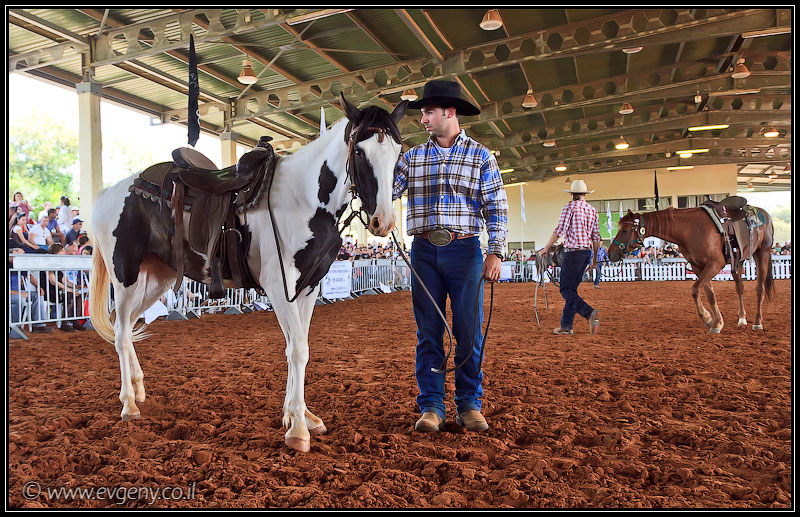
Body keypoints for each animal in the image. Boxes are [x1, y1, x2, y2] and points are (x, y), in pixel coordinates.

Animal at [89, 94, 408, 452]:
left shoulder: (308, 287)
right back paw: (129, 403)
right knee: (119, 332)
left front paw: (299, 415)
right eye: (360, 152)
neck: (303, 200)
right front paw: (298, 429)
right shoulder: (278, 285)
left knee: (128, 327)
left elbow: (298, 345)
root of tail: (107, 194)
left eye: (397, 151)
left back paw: (138, 388)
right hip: (125, 276)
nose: (383, 221)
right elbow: (297, 348)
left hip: (155, 280)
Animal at [607, 206, 775, 333]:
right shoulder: (698, 266)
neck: (690, 229)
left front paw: (707, 318)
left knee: (759, 288)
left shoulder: (715, 264)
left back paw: (757, 322)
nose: (610, 253)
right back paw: (742, 318)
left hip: (762, 254)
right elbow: (709, 294)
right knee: (740, 287)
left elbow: (695, 289)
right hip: (738, 262)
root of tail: (765, 214)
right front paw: (716, 322)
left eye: (624, 231)